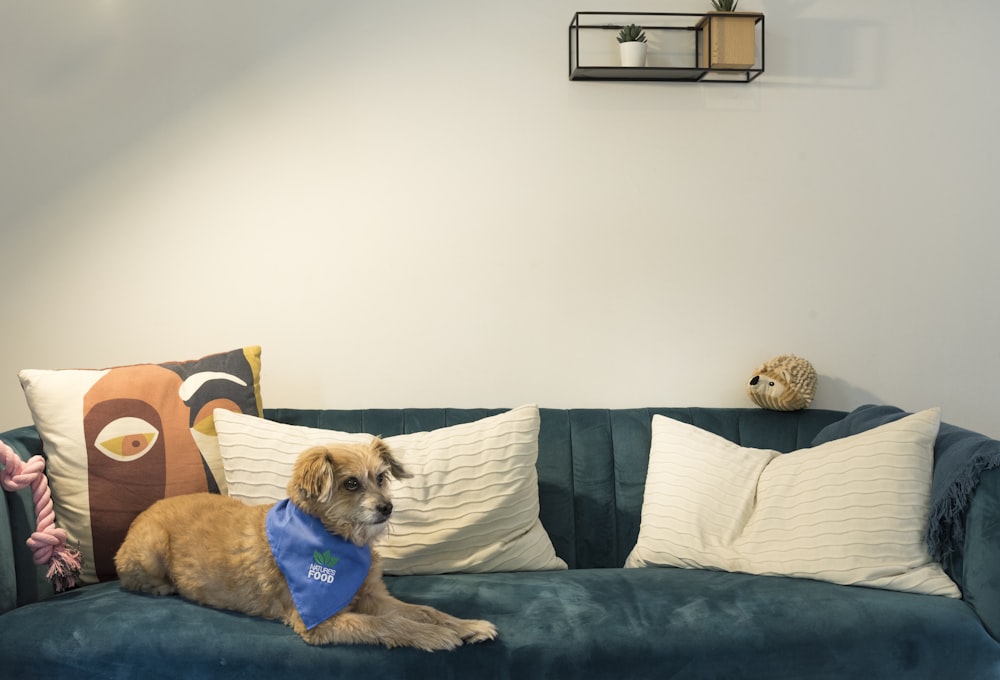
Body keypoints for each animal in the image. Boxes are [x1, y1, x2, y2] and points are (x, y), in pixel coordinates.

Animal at [115, 438, 498, 652]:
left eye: (381, 477)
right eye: (351, 483)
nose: (387, 507)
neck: (337, 539)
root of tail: (148, 509)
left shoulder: (373, 597)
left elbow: (424, 611)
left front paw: (466, 626)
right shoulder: (319, 620)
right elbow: (388, 625)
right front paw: (433, 636)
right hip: (148, 551)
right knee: (130, 580)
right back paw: (162, 587)